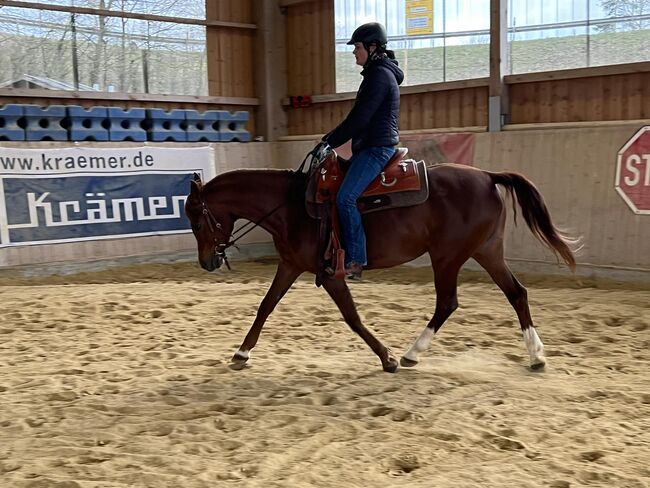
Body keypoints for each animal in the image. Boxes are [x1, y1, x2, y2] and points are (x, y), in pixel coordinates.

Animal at [185, 160, 576, 374]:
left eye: (197, 220)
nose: (207, 262)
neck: (292, 205)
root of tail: (486, 175)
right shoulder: (290, 265)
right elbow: (266, 306)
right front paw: (241, 352)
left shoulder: (331, 274)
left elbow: (352, 317)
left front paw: (386, 357)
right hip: (486, 251)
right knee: (517, 293)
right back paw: (536, 355)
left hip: (447, 256)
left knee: (447, 303)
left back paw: (410, 353)